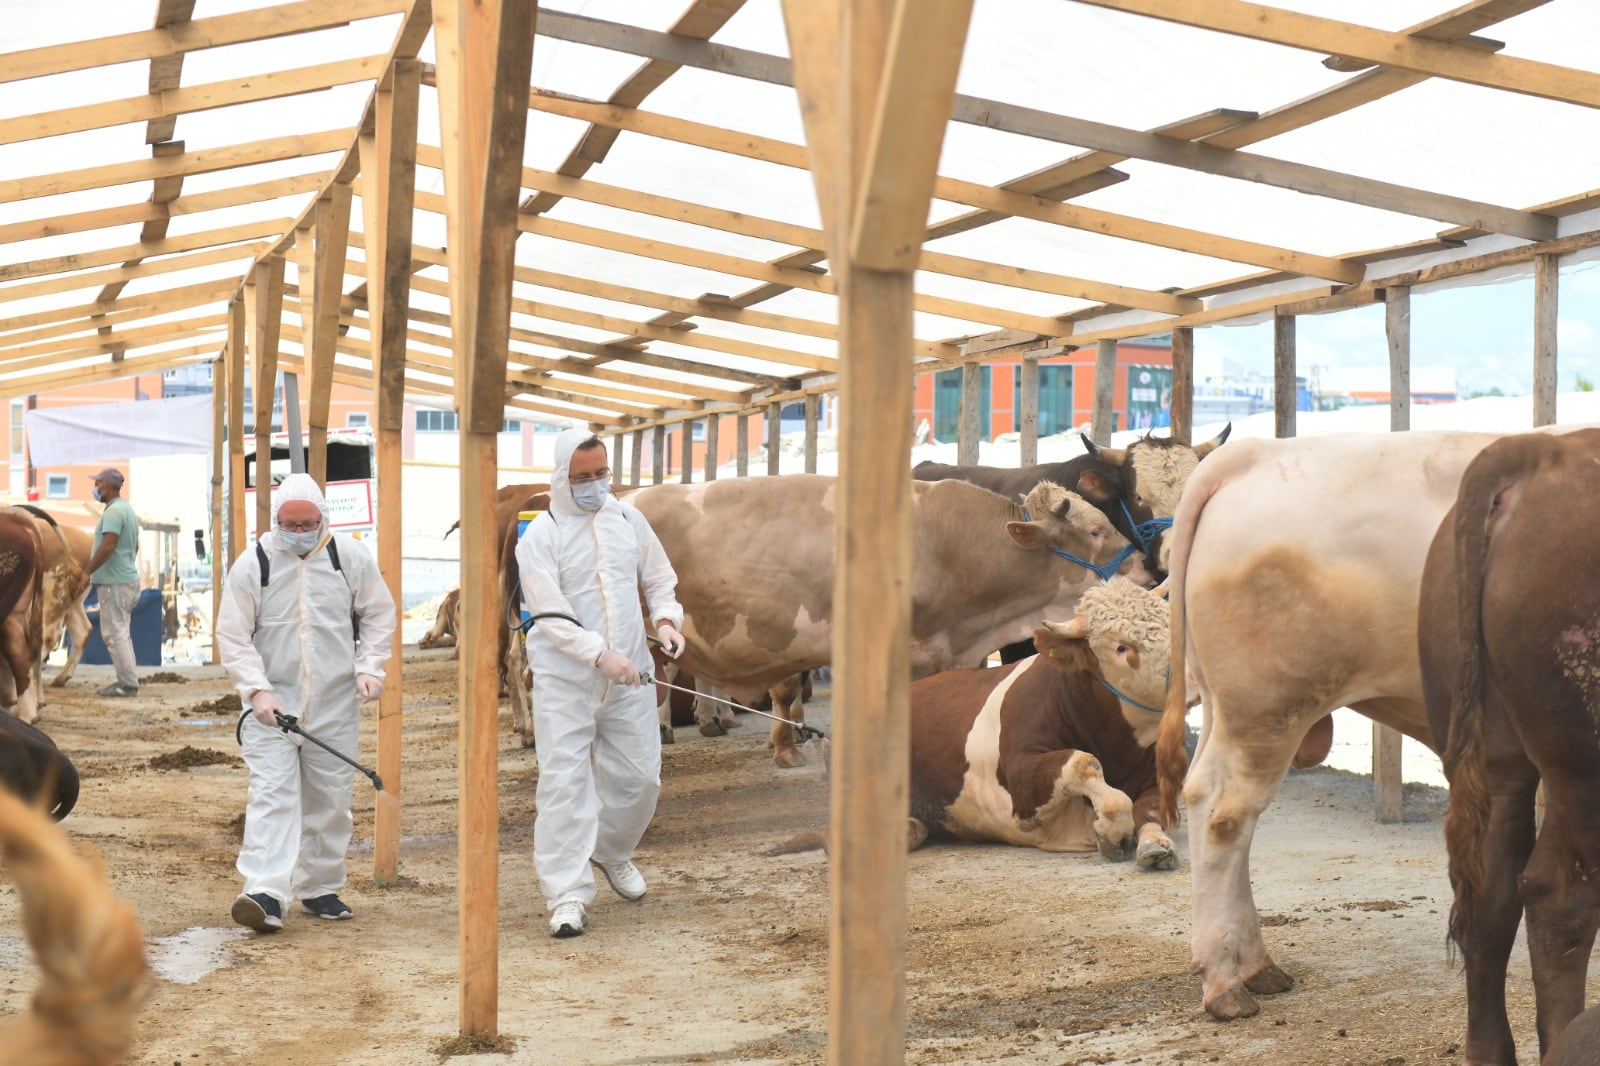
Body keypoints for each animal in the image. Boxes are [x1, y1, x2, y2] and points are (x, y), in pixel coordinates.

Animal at [915, 573, 1177, 864]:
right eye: (1121, 647)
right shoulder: (1022, 787)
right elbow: (1086, 765)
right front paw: (1113, 831)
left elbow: (1151, 812)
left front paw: (1155, 844)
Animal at [1152, 428, 1587, 1017]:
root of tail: (1254, 451)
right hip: (1269, 710)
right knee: (1225, 815)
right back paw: (1225, 982)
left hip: (1228, 705)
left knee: (1206, 802)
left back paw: (1255, 965)